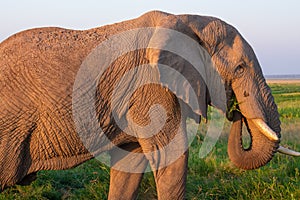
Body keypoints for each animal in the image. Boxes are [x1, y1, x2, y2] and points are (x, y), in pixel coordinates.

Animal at [0, 10, 300, 198]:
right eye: (239, 69)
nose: (235, 108)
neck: (187, 19)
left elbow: (130, 164)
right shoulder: (150, 88)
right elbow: (172, 157)